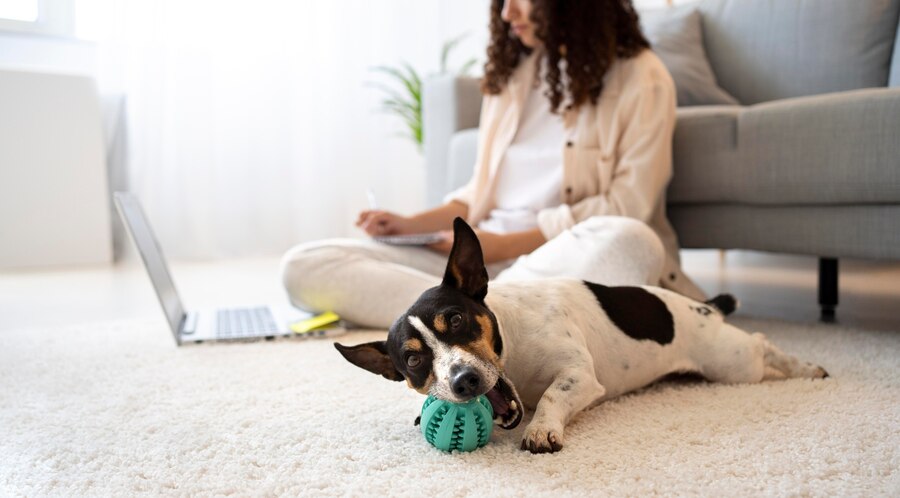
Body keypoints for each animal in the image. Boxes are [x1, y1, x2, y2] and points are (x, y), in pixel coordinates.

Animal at [332, 216, 828, 454]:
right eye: (413, 361)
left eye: (455, 320)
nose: (464, 382)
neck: (512, 353)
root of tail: (702, 308)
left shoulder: (579, 375)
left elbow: (554, 395)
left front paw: (542, 430)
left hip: (731, 363)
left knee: (761, 342)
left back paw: (807, 367)